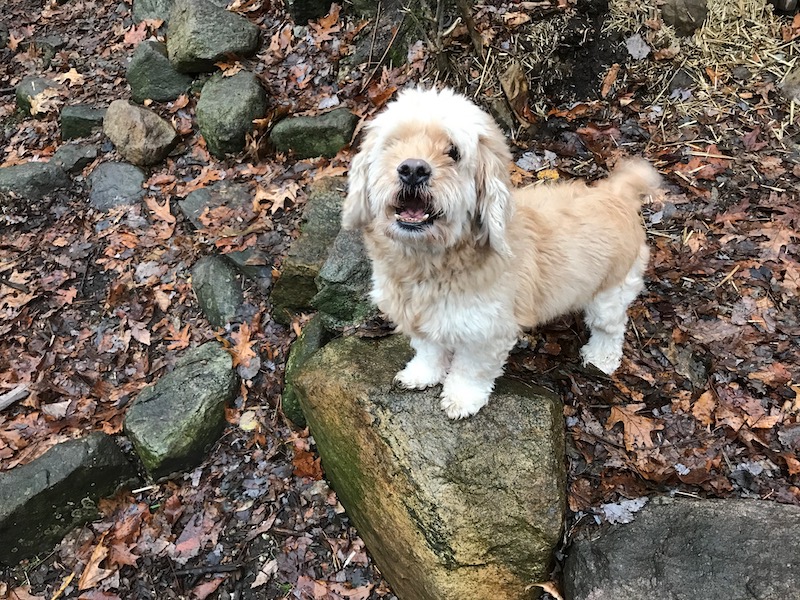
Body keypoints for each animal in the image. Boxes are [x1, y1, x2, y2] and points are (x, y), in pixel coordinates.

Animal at [340, 86, 660, 420]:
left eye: (454, 152)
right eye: (392, 145)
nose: (412, 169)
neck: (427, 262)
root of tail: (617, 194)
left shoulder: (486, 334)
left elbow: (471, 370)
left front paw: (462, 398)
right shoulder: (423, 319)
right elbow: (429, 350)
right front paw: (422, 374)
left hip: (612, 292)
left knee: (611, 328)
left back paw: (601, 357)